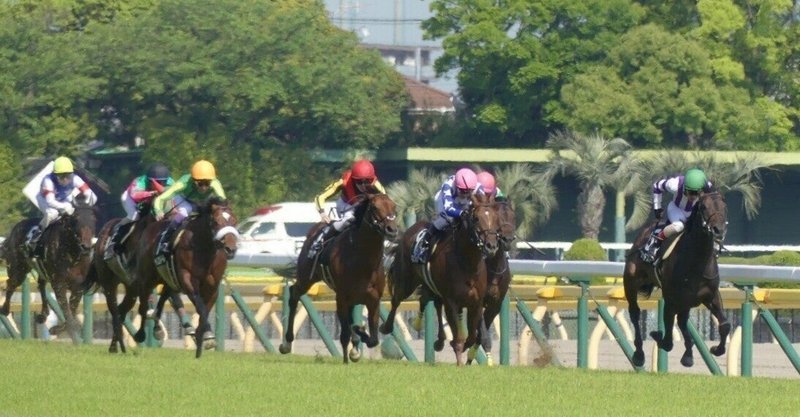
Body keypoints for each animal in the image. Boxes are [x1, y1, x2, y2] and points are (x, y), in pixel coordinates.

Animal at [0, 196, 96, 342]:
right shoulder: (59, 283)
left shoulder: (78, 286)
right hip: (18, 269)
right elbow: (66, 309)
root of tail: (15, 229)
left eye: (93, 219)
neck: (72, 255)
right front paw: (65, 328)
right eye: (76, 219)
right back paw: (5, 309)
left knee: (41, 285)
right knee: (10, 284)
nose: (86, 246)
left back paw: (43, 314)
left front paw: (59, 328)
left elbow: (72, 309)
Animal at [132, 196, 238, 358]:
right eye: (215, 222)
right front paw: (203, 338)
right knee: (144, 301)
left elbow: (204, 310)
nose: (230, 249)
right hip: (147, 277)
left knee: (165, 295)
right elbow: (201, 308)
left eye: (234, 220)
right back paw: (140, 333)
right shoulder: (188, 281)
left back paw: (157, 326)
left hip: (167, 278)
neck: (204, 249)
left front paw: (205, 340)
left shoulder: (213, 287)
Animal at [278, 192, 398, 364]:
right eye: (375, 207)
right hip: (307, 277)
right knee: (294, 293)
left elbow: (374, 339)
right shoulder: (341, 297)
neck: (363, 259)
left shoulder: (374, 300)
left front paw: (358, 337)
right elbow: (345, 333)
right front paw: (346, 360)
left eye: (394, 206)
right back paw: (287, 343)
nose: (392, 229)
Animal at [380, 195, 502, 365]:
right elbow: (459, 337)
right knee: (396, 300)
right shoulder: (451, 301)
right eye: (477, 218)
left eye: (496, 218)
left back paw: (437, 339)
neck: (467, 263)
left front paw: (462, 348)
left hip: (433, 287)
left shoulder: (476, 303)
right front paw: (459, 362)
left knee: (430, 302)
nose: (491, 246)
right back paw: (387, 327)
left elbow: (471, 337)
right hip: (406, 282)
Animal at [623, 191, 730, 368]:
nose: (718, 230)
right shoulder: (672, 297)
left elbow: (725, 325)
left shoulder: (711, 295)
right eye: (703, 206)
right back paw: (638, 354)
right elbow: (668, 338)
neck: (697, 261)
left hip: (686, 300)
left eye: (724, 206)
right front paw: (657, 335)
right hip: (631, 283)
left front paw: (716, 349)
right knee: (635, 313)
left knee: (681, 321)